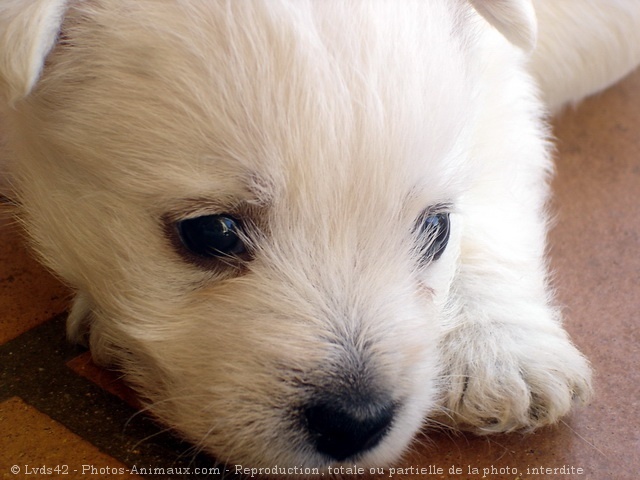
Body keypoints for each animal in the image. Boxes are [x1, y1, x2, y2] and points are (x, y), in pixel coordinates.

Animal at [1, 0, 640, 468]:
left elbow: (491, 207)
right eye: (211, 232)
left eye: (436, 228)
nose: (357, 423)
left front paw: (500, 352)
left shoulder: (499, 84)